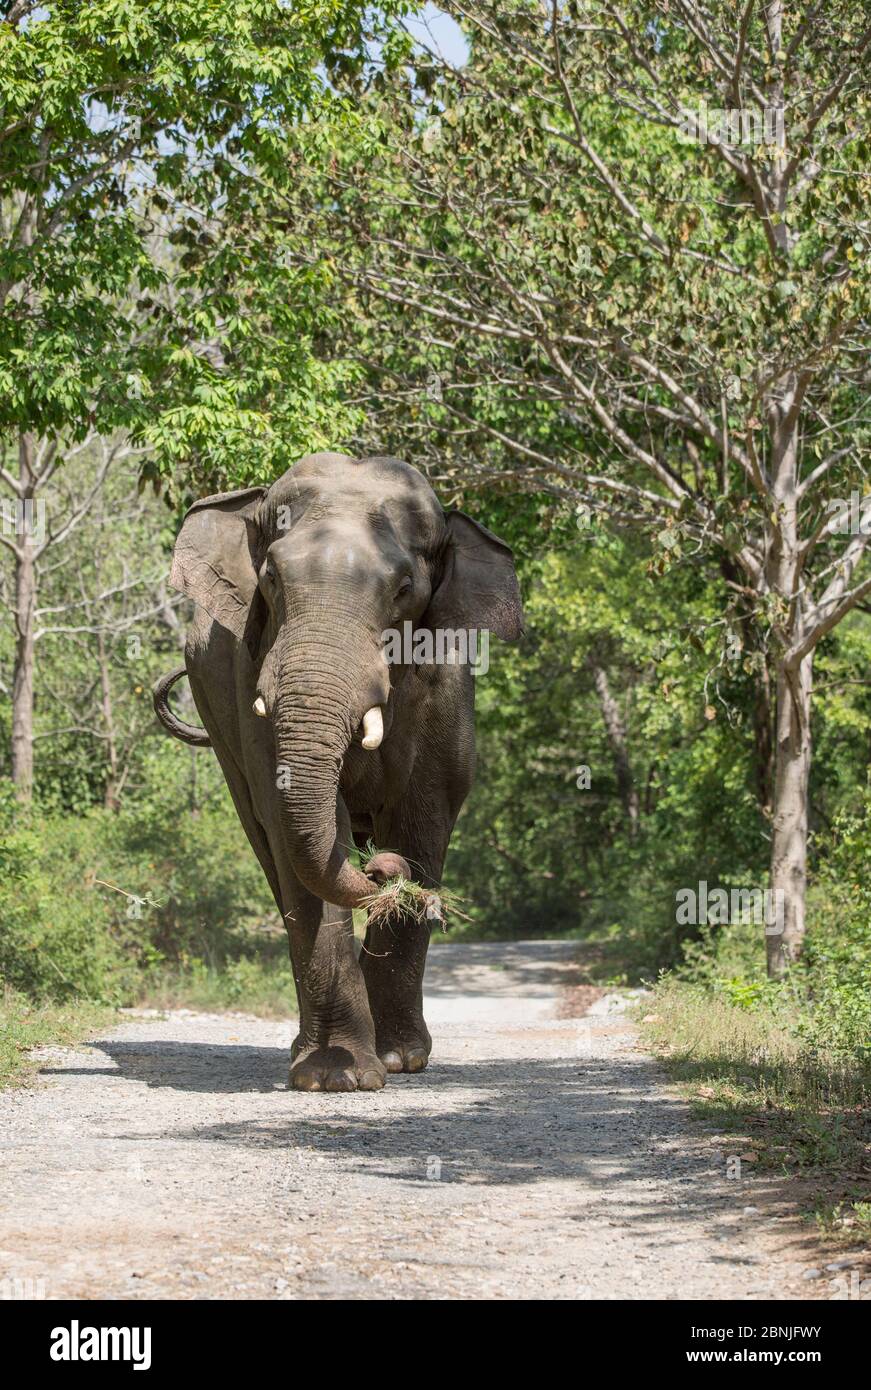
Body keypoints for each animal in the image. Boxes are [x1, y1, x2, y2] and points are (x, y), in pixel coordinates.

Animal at [153, 452, 523, 1092]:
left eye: (404, 589)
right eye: (271, 579)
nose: (377, 866)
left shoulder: (446, 685)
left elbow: (423, 817)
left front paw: (398, 1060)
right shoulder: (251, 676)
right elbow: (291, 825)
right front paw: (334, 1076)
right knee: (267, 845)